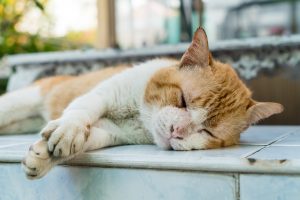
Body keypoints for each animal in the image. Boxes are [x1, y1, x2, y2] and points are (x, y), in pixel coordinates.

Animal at [0, 27, 284, 178]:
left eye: (207, 132)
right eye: (182, 100)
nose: (177, 131)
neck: (139, 115)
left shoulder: (111, 132)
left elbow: (86, 140)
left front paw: (44, 157)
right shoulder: (103, 94)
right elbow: (79, 112)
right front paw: (69, 130)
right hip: (18, 102)